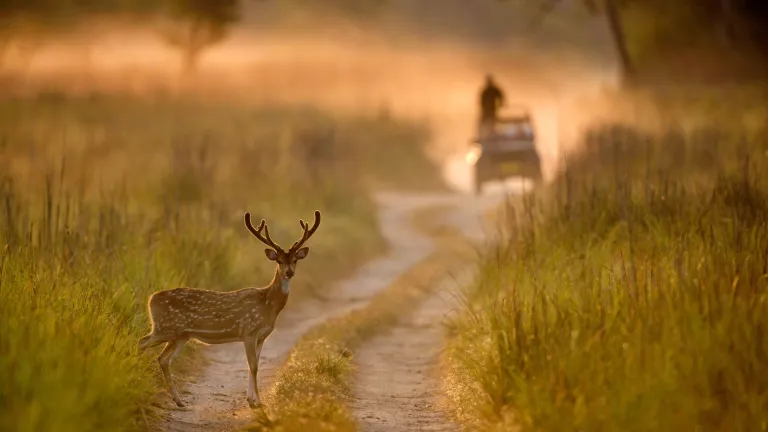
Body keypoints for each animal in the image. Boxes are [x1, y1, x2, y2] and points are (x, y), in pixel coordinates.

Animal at [139, 211, 320, 406]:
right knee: (142, 342)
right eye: (278, 260)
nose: (289, 272)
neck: (268, 305)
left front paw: (251, 399)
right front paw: (257, 402)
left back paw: (179, 401)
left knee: (163, 359)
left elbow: (254, 365)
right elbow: (253, 366)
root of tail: (151, 299)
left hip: (181, 335)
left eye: (295, 260)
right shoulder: (249, 331)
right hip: (165, 327)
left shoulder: (262, 336)